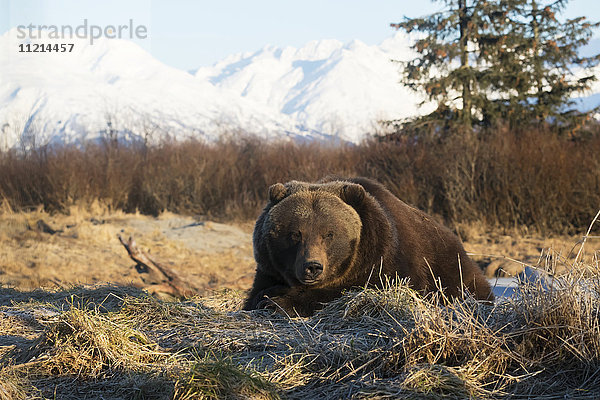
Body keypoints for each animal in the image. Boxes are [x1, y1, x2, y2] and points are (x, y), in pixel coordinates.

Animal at [243, 177, 492, 316]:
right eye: (295, 233)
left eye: (329, 234)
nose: (312, 266)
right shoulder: (268, 269)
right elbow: (256, 293)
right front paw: (266, 297)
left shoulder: (388, 261)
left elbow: (349, 292)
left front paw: (278, 300)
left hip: (451, 271)